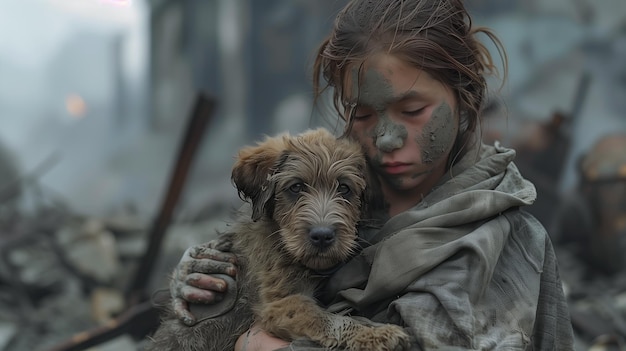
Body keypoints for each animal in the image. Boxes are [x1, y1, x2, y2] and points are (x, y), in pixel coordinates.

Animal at [146, 129, 410, 351]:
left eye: (344, 188)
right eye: (296, 187)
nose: (322, 236)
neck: (280, 237)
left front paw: (376, 329)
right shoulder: (281, 303)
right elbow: (326, 318)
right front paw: (376, 335)